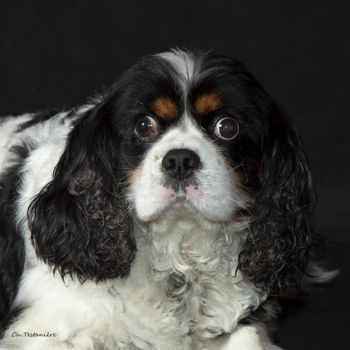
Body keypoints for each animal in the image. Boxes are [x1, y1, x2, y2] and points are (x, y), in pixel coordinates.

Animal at [0, 49, 330, 350]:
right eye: (143, 126)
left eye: (227, 127)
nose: (180, 160)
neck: (179, 250)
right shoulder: (43, 329)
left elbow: (250, 336)